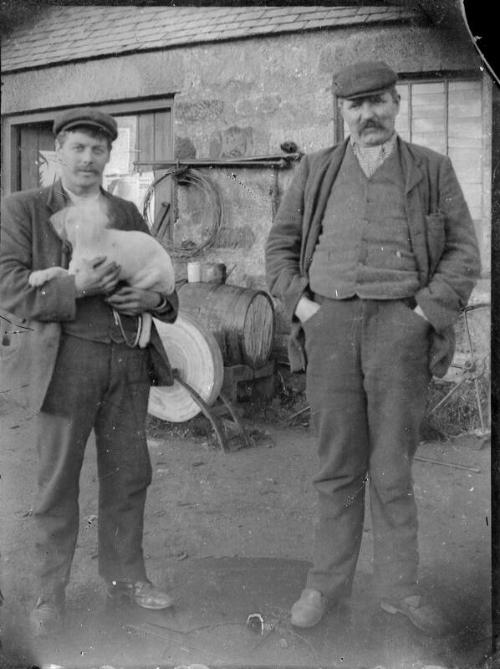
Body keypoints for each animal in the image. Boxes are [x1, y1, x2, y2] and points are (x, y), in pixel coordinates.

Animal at [28, 200, 176, 348]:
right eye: (70, 221)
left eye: (88, 221)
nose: (78, 233)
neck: (86, 245)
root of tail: (172, 282)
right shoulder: (72, 271)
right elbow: (57, 269)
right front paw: (38, 276)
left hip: (146, 279)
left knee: (146, 311)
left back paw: (144, 338)